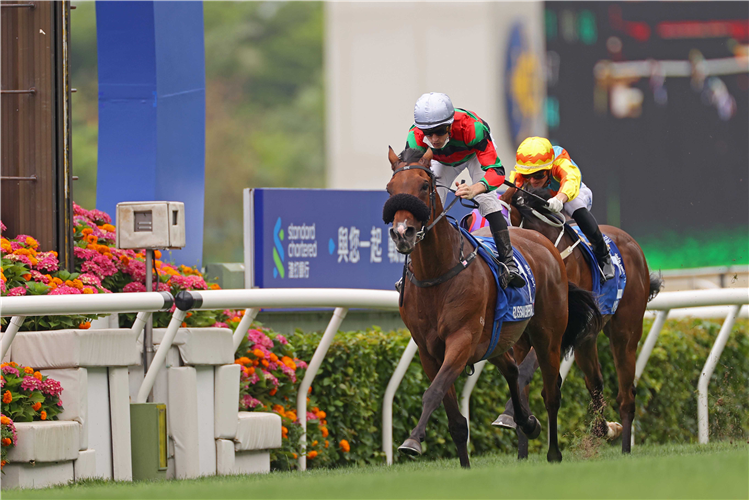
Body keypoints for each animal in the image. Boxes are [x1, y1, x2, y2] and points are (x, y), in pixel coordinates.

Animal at [386, 146, 600, 466]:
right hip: (498, 340)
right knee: (512, 370)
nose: (402, 233)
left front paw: (412, 440)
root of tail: (546, 245)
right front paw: (460, 462)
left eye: (424, 186)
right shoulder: (427, 350)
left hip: (547, 336)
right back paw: (525, 422)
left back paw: (553, 451)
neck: (437, 273)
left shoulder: (461, 340)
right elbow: (455, 420)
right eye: (390, 189)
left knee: (551, 392)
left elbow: (433, 392)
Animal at [494, 184, 664, 454]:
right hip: (587, 338)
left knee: (626, 395)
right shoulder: (526, 336)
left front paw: (512, 416)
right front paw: (518, 428)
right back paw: (605, 429)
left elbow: (527, 371)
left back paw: (625, 446)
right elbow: (522, 377)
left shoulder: (558, 330)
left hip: (625, 332)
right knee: (595, 382)